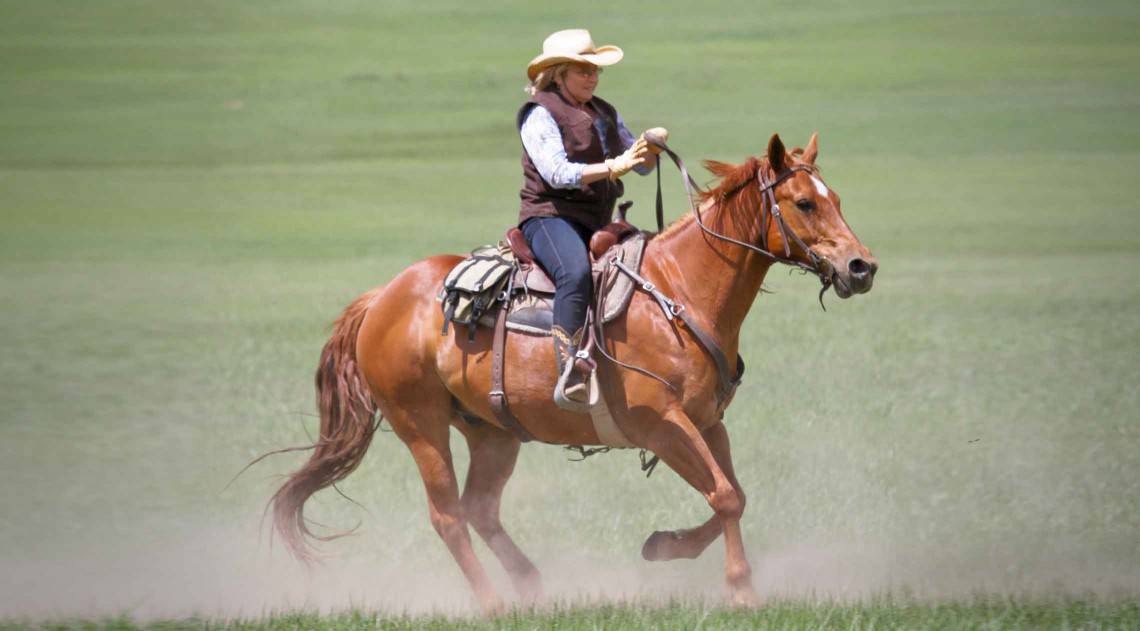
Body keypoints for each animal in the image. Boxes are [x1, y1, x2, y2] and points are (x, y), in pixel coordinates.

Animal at [271, 132, 875, 610]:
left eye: (837, 199)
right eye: (804, 203)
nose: (861, 266)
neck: (680, 290)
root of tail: (381, 298)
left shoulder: (707, 422)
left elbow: (733, 493)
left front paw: (665, 545)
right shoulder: (661, 423)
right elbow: (725, 495)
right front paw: (742, 588)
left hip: (492, 433)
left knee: (480, 509)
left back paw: (533, 586)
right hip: (421, 426)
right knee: (448, 517)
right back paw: (493, 604)